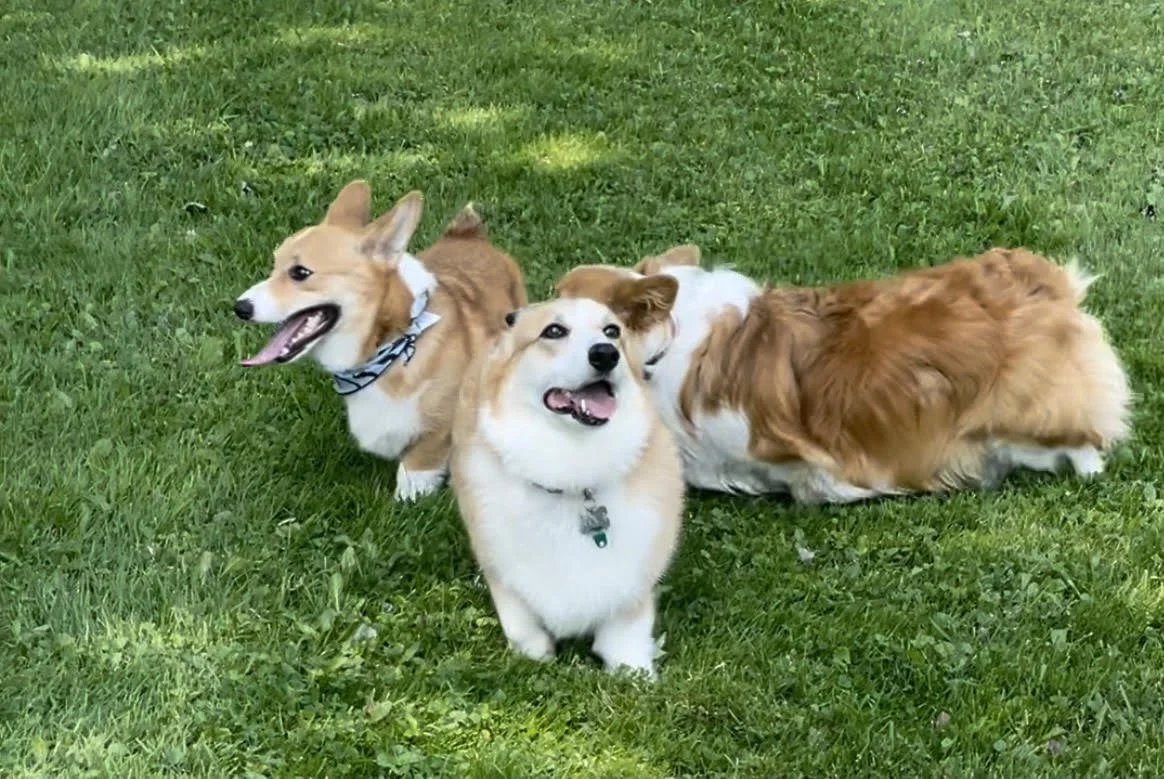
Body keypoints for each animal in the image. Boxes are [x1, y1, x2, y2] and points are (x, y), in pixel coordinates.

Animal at [233, 180, 527, 501]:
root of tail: (468, 235)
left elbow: (416, 468)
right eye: (274, 265)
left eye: (300, 272)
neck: (390, 347)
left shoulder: (437, 430)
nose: (239, 307)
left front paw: (408, 500)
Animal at [450, 287, 684, 678]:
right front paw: (536, 655)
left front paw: (635, 672)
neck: (574, 475)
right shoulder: (503, 573)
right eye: (554, 331)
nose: (605, 354)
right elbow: (521, 623)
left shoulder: (634, 582)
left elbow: (627, 633)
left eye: (612, 332)